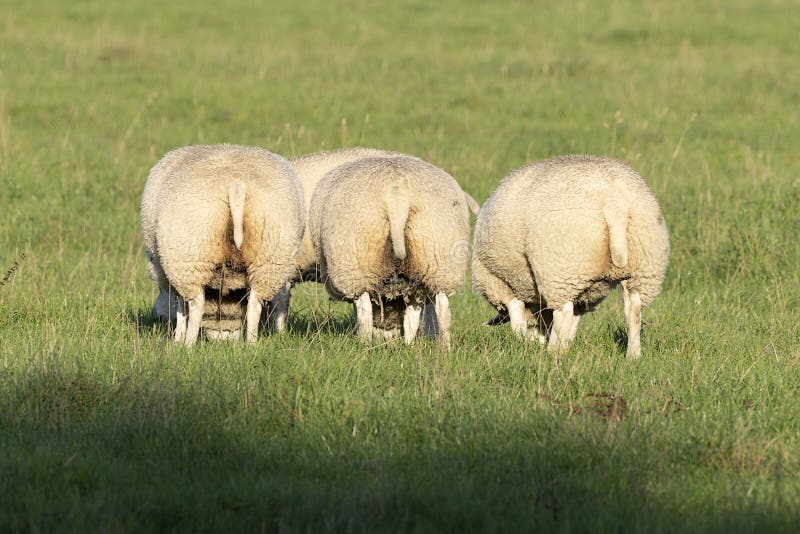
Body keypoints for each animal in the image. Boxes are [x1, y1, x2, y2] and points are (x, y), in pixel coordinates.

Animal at [139, 146, 304, 348]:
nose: (224, 340)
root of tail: (236, 184)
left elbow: (180, 308)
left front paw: (178, 339)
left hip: (192, 256)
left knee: (196, 304)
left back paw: (188, 345)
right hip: (270, 256)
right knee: (255, 304)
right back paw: (251, 344)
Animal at [310, 156, 472, 348]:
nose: (387, 338)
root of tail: (397, 195)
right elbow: (412, 318)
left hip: (357, 261)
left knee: (364, 309)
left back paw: (365, 345)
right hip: (436, 257)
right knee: (442, 310)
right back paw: (442, 349)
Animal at [472, 157, 672, 362]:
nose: (537, 343)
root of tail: (614, 203)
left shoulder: (499, 283)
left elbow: (517, 317)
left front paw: (525, 344)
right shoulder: (585, 295)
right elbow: (574, 320)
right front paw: (563, 345)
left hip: (563, 267)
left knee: (563, 312)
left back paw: (553, 353)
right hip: (644, 264)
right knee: (634, 310)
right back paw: (633, 356)